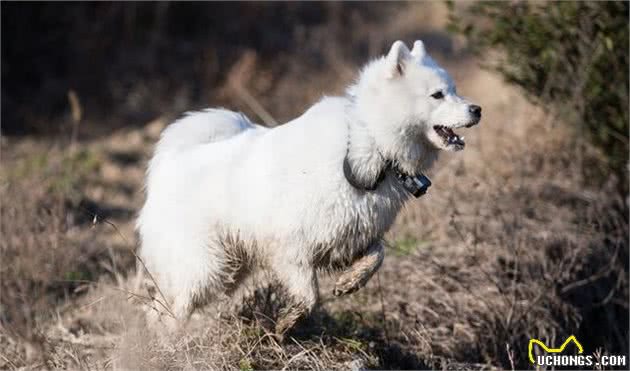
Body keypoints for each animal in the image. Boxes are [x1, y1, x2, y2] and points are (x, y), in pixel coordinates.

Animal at [137, 40, 484, 334]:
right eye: (437, 95)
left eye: (455, 90)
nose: (477, 109)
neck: (368, 145)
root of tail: (171, 162)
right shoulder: (292, 249)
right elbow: (309, 296)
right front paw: (286, 323)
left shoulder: (354, 234)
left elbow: (378, 255)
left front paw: (350, 282)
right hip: (206, 268)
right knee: (171, 308)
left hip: (230, 268)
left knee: (162, 307)